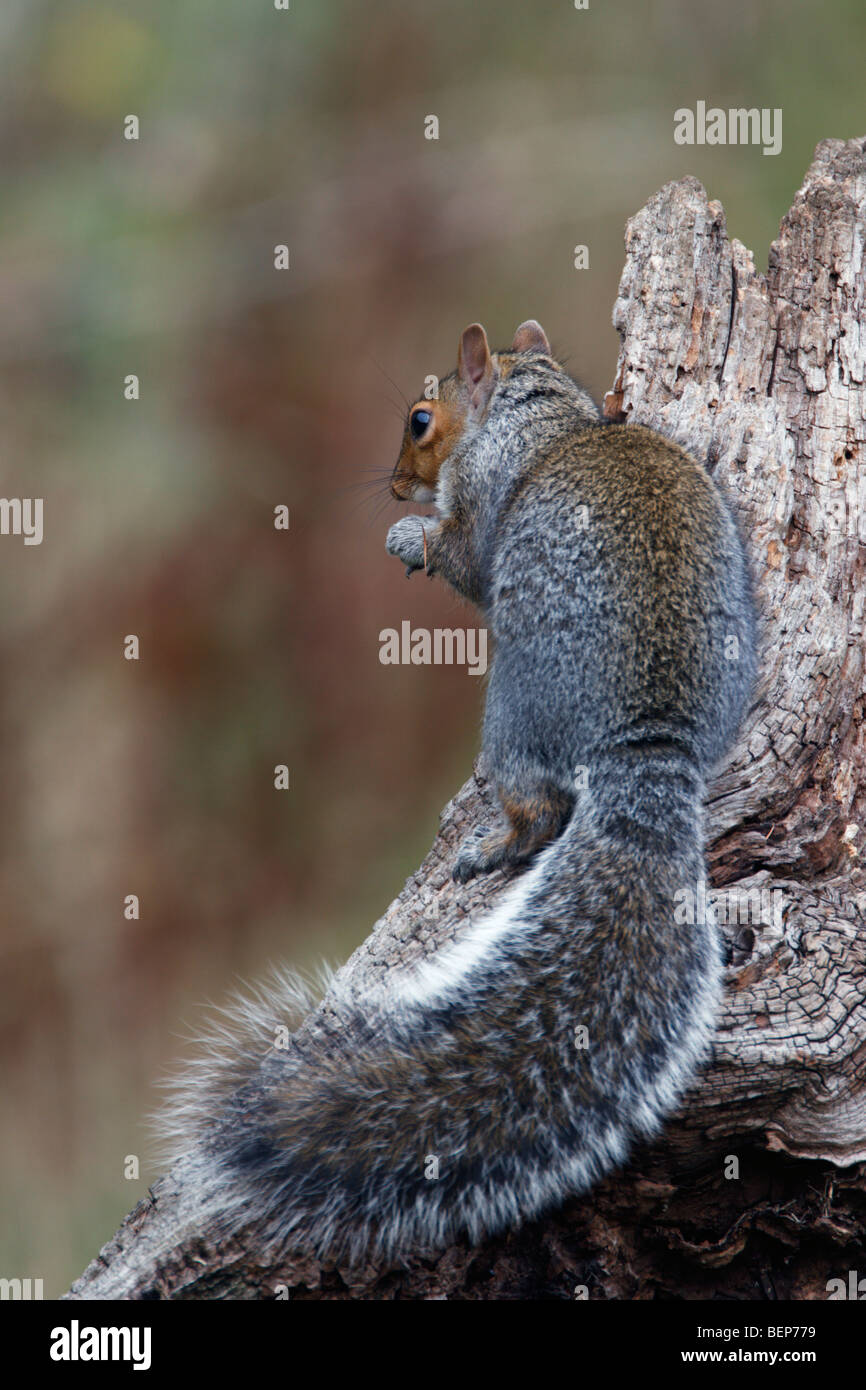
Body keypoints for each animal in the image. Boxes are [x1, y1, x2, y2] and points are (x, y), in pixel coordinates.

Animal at [159, 319, 756, 1267]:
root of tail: (647, 748)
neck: (545, 414)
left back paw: (492, 847)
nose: (396, 484)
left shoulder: (481, 494)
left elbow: (465, 558)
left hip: (510, 714)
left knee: (539, 811)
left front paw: (412, 537)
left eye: (419, 419)